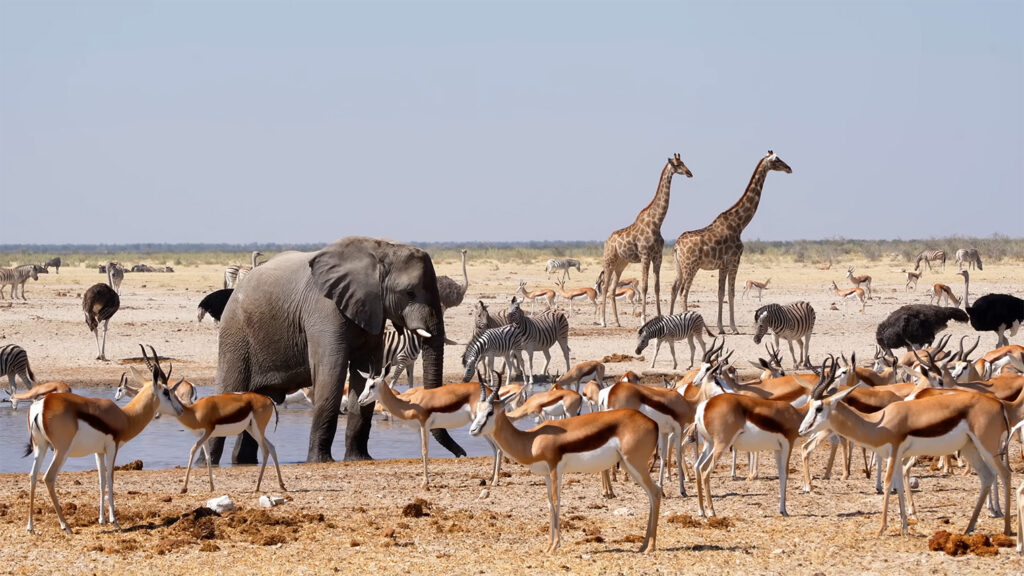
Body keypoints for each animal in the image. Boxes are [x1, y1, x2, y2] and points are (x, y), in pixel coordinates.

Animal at [24, 362, 182, 532]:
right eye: (166, 392)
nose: (180, 409)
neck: (125, 417)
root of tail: (42, 405)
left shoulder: (98, 452)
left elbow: (101, 481)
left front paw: (101, 520)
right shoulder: (112, 448)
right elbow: (110, 479)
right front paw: (114, 522)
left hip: (40, 447)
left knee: (32, 476)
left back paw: (30, 527)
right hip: (61, 451)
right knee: (48, 477)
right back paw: (66, 527)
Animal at [207, 234, 464, 461]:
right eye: (409, 293)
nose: (461, 453)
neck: (379, 250)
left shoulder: (371, 310)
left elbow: (366, 370)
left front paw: (360, 459)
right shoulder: (324, 309)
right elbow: (332, 371)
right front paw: (320, 460)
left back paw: (242, 462)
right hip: (235, 334)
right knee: (228, 388)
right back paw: (206, 462)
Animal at [468, 381, 659, 553]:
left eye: (490, 412)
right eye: (477, 410)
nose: (473, 430)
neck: (531, 440)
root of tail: (653, 423)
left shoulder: (555, 469)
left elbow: (556, 501)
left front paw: (554, 546)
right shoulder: (546, 474)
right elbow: (549, 504)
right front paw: (548, 547)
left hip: (636, 464)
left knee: (656, 492)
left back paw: (650, 547)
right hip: (629, 466)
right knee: (652, 494)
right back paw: (643, 546)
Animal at [598, 152, 692, 325]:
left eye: (684, 162)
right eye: (677, 164)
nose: (689, 173)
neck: (657, 222)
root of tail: (606, 241)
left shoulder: (658, 256)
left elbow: (656, 287)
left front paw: (660, 316)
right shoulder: (645, 255)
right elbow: (644, 287)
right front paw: (643, 319)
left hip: (621, 263)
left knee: (612, 289)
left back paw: (617, 322)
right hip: (608, 260)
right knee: (605, 287)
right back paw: (603, 321)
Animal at [667, 150, 794, 334]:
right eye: (777, 160)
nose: (789, 168)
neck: (739, 224)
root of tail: (676, 246)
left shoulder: (723, 265)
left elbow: (721, 293)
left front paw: (721, 327)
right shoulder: (734, 261)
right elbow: (731, 293)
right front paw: (733, 327)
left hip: (679, 266)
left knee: (674, 288)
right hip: (691, 266)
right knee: (684, 292)